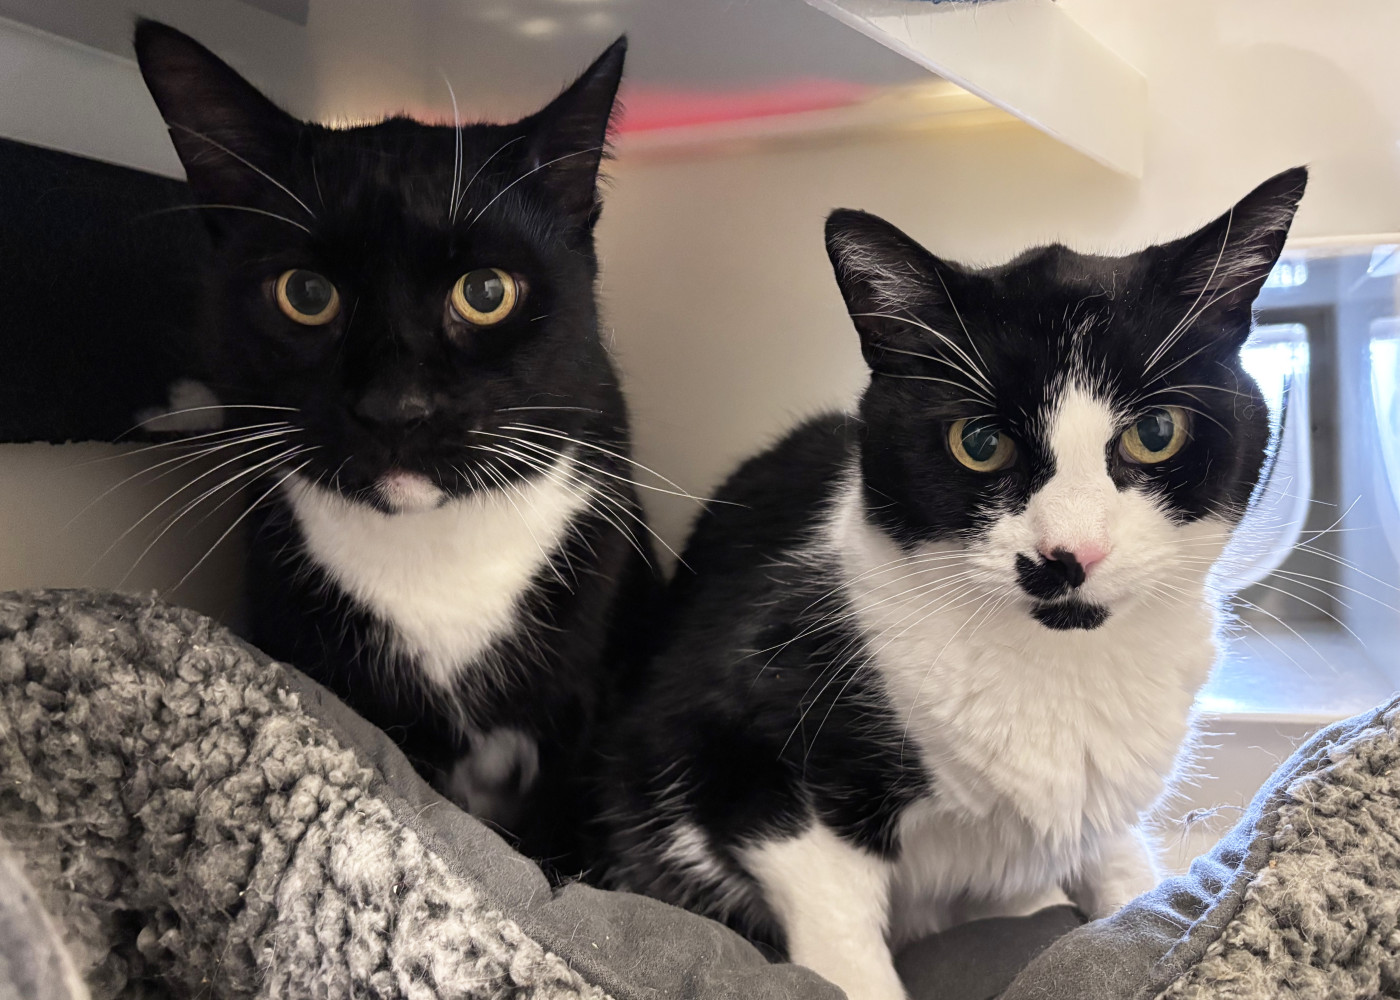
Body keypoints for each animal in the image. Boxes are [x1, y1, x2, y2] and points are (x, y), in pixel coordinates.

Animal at [599, 167, 1307, 999]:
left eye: (1156, 433)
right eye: (979, 442)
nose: (1068, 553)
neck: (1056, 668)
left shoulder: (1100, 809)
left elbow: (1132, 889)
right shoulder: (732, 743)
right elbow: (837, 925)